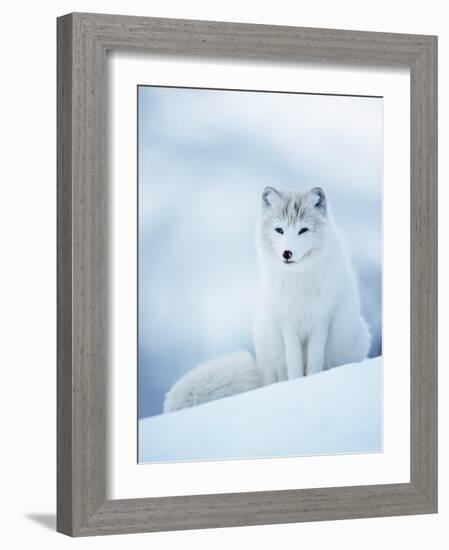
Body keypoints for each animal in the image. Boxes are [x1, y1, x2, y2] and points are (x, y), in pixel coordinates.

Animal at [163, 187, 370, 414]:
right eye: (279, 230)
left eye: (303, 230)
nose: (287, 253)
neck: (298, 281)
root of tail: (258, 372)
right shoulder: (286, 321)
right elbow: (294, 361)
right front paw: (296, 384)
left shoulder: (321, 319)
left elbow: (314, 359)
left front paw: (311, 381)